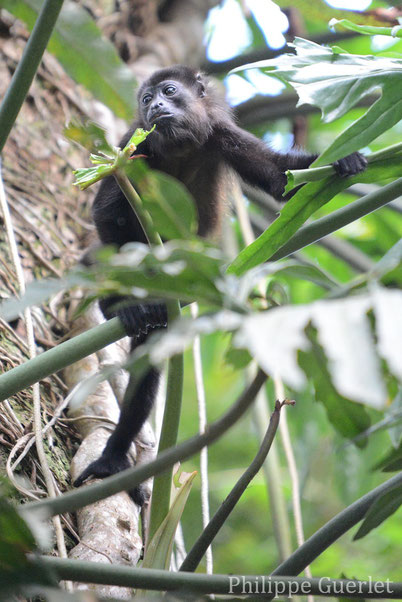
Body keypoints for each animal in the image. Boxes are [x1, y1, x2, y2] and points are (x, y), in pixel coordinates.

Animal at [74, 64, 370, 502]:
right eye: (146, 100)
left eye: (168, 91)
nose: (156, 106)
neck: (179, 147)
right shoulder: (130, 146)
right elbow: (107, 211)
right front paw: (129, 301)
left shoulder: (221, 134)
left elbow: (280, 180)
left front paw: (343, 160)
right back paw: (122, 310)